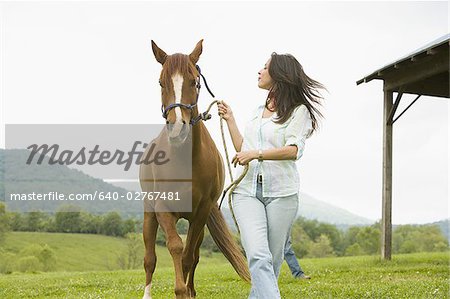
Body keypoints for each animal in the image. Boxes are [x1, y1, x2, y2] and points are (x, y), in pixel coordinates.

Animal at [140, 40, 250, 299]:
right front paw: (180, 290)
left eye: (194, 81)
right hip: (149, 214)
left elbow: (189, 257)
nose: (177, 128)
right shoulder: (162, 209)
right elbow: (175, 247)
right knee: (150, 259)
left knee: (195, 254)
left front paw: (186, 292)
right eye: (161, 82)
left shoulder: (201, 213)